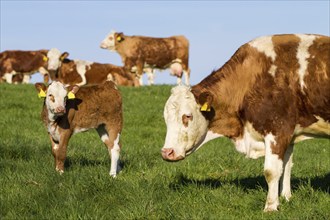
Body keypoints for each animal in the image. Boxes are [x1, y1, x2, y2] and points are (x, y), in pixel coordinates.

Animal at [160, 34, 330, 211]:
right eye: (165, 118)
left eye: (187, 116)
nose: (167, 152)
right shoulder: (288, 133)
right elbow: (286, 166)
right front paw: (285, 198)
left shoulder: (277, 130)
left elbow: (272, 171)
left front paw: (270, 207)